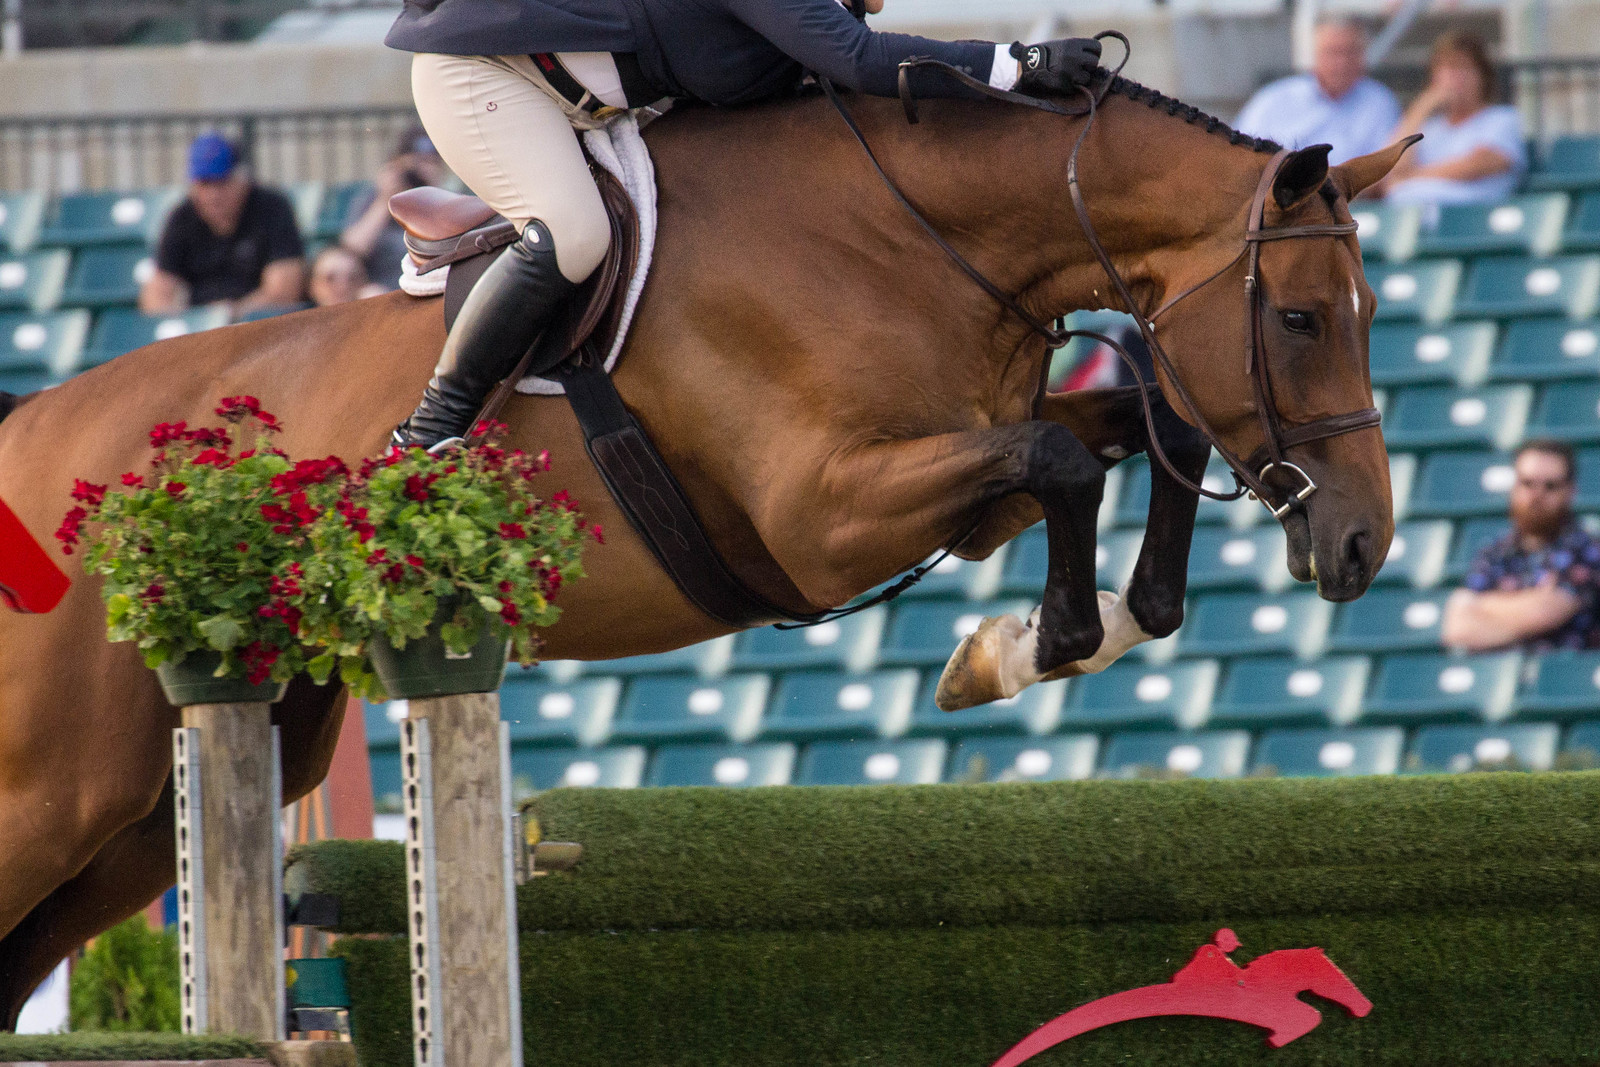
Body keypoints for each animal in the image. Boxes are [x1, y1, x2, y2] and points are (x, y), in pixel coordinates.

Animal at [0, 70, 1407, 1018]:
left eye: (1368, 310)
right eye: (1297, 317)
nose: (1359, 545)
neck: (914, 235)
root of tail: (36, 427)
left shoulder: (959, 475)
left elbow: (1139, 426)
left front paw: (1063, 630)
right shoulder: (822, 516)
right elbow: (1073, 459)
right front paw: (1036, 640)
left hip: (164, 796)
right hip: (63, 783)